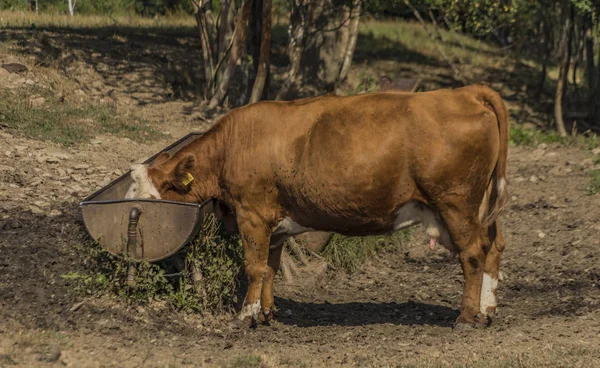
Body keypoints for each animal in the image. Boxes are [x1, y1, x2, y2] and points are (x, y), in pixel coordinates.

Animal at [125, 85, 506, 330]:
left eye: (148, 198)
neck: (231, 147)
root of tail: (465, 92)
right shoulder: (275, 223)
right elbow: (270, 268)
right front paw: (267, 314)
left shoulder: (252, 214)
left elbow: (254, 268)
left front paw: (245, 317)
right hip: (480, 207)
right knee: (493, 247)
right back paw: (487, 311)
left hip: (455, 203)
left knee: (473, 253)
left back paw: (466, 318)